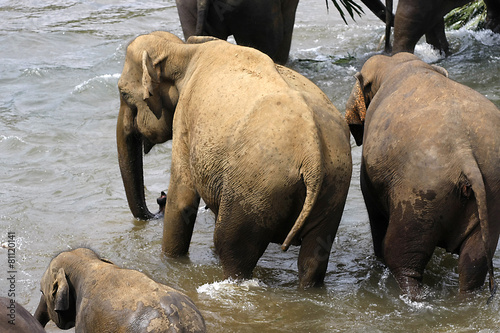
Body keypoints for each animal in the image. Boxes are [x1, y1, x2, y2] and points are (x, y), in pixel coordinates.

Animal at [116, 31, 352, 288]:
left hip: (256, 186)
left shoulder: (185, 121)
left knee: (232, 249)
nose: (160, 197)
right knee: (313, 258)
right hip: (334, 186)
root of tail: (313, 156)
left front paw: (170, 261)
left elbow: (182, 201)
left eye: (123, 93)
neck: (184, 50)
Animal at [346, 52, 500, 300]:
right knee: (473, 263)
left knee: (400, 258)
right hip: (492, 192)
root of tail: (464, 153)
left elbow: (375, 211)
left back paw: (411, 297)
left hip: (418, 194)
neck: (399, 63)